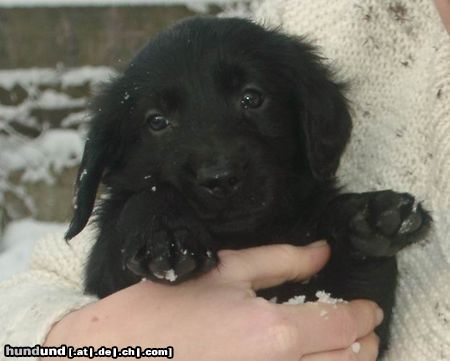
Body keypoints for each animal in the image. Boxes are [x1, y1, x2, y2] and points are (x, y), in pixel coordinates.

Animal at [65, 16, 430, 352]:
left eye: (251, 98)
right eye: (157, 122)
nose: (221, 178)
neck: (246, 237)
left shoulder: (357, 302)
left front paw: (372, 216)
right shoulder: (111, 277)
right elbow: (146, 196)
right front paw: (164, 234)